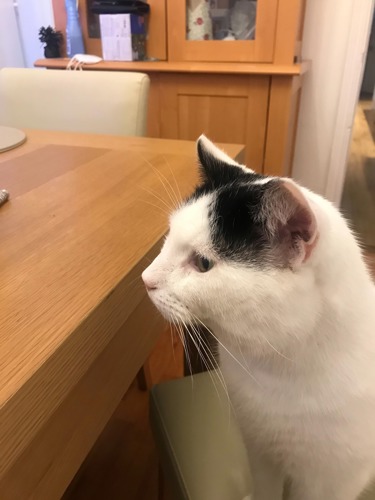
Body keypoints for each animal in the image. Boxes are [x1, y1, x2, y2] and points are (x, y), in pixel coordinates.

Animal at [142, 135, 375, 498]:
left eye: (203, 263)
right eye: (168, 237)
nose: (145, 279)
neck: (273, 372)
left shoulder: (330, 481)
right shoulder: (258, 450)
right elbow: (265, 486)